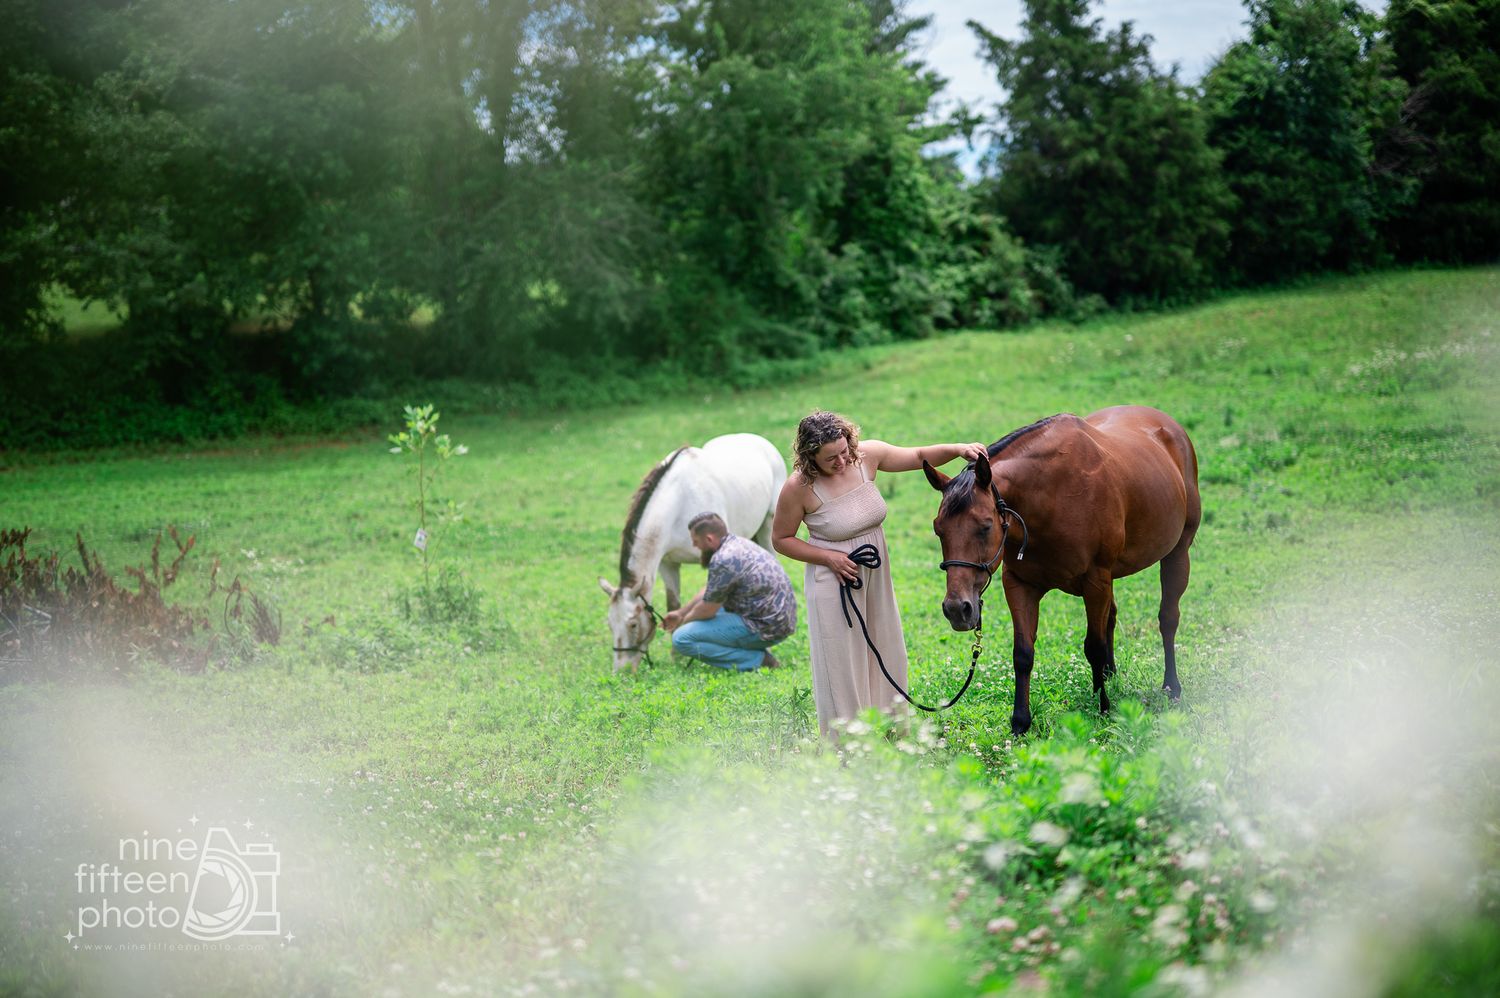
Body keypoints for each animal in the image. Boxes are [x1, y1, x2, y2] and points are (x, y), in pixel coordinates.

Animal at [597, 433, 787, 672]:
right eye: (610, 624)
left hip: (768, 526)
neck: (679, 502)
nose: (621, 672)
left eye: (632, 624)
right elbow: (674, 604)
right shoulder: (668, 564)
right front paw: (676, 657)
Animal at [922, 406, 1200, 735]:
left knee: (1167, 618)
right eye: (939, 530)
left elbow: (1093, 646)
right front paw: (1020, 722)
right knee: (1112, 617)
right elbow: (1023, 653)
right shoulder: (1019, 585)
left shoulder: (1095, 581)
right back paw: (1110, 676)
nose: (957, 609)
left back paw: (1171, 686)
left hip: (1177, 553)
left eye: (985, 526)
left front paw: (1102, 707)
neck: (1052, 496)